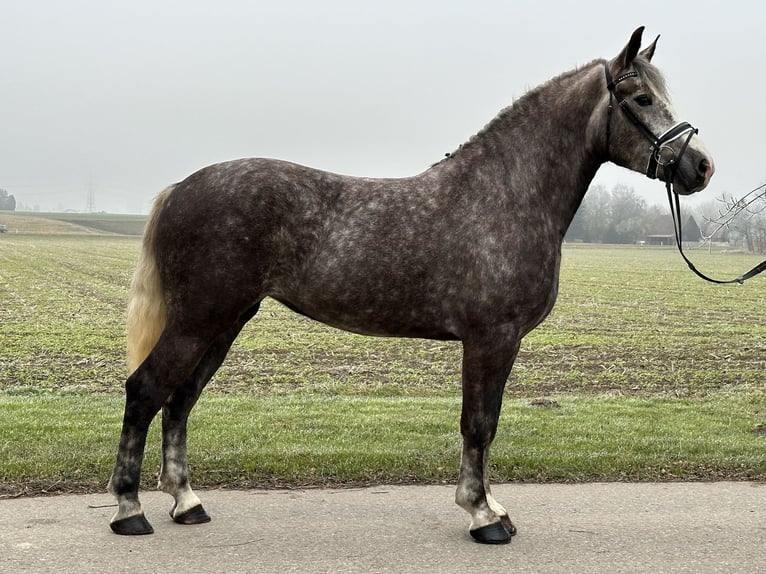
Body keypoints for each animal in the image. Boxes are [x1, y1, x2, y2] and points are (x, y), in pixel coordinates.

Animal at [109, 27, 720, 548]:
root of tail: (180, 188)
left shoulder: (497, 342)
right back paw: (129, 511)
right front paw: (482, 515)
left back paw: (187, 503)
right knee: (146, 390)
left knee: (180, 400)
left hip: (226, 321)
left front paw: (493, 508)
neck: (505, 195)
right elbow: (479, 423)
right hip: (200, 318)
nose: (700, 166)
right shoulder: (491, 338)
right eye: (640, 98)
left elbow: (486, 422)